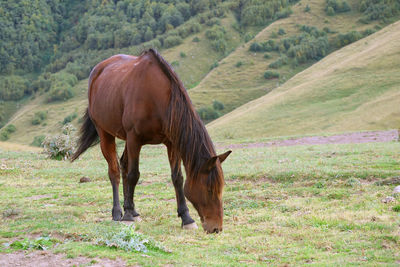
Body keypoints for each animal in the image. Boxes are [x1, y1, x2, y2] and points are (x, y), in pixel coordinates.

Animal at [72, 49, 231, 233]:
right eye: (209, 189)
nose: (216, 228)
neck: (156, 97)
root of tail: (97, 71)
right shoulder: (134, 139)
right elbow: (134, 175)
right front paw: (127, 217)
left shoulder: (172, 143)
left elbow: (177, 178)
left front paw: (186, 218)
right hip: (105, 133)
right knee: (115, 172)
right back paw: (118, 212)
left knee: (123, 164)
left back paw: (133, 210)